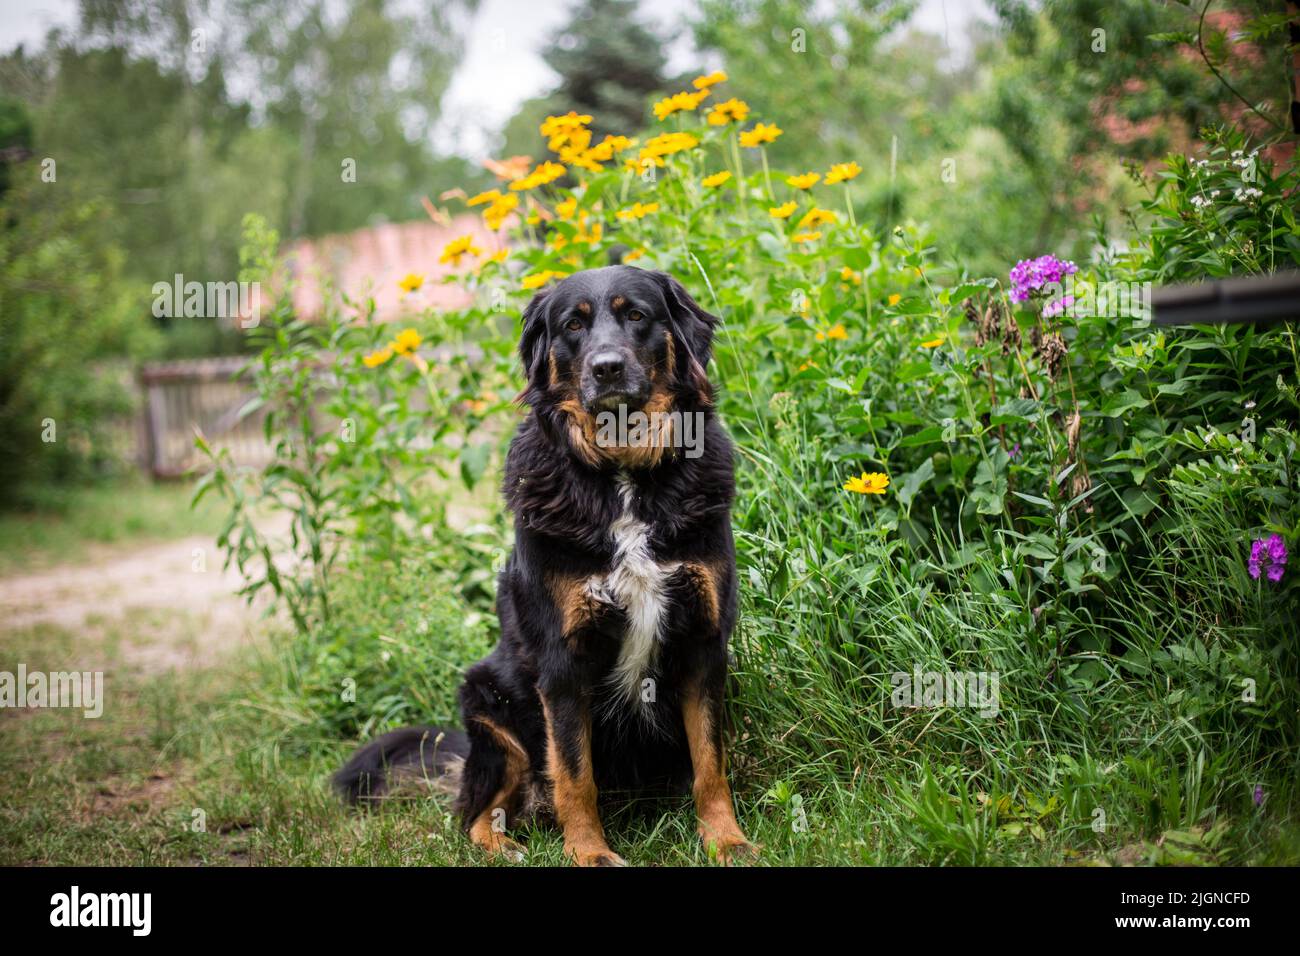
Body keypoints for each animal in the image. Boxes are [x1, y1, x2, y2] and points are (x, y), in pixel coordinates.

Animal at [330, 264, 754, 868]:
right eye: (573, 325)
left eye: (637, 315)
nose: (607, 367)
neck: (621, 478)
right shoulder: (561, 662)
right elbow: (575, 776)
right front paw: (590, 853)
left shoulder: (704, 642)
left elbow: (710, 764)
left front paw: (725, 839)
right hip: (493, 714)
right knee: (475, 815)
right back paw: (505, 846)